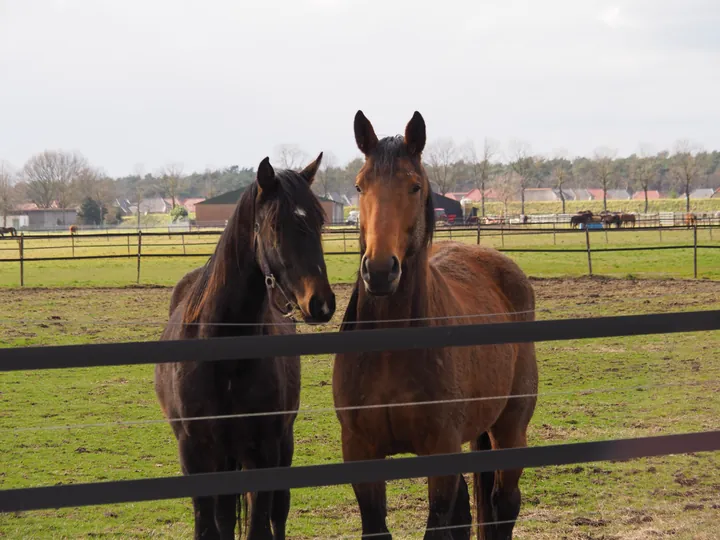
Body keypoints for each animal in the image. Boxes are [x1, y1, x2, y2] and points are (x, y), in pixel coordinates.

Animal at [156, 154, 336, 536]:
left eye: (319, 221)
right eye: (276, 226)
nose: (321, 303)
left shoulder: (264, 450)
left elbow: (259, 525)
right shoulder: (194, 454)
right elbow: (208, 526)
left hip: (280, 445)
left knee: (277, 513)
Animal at [334, 109, 536, 540]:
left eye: (414, 186)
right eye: (360, 185)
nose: (380, 271)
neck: (390, 349)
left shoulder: (441, 451)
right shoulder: (360, 452)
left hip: (510, 428)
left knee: (505, 503)